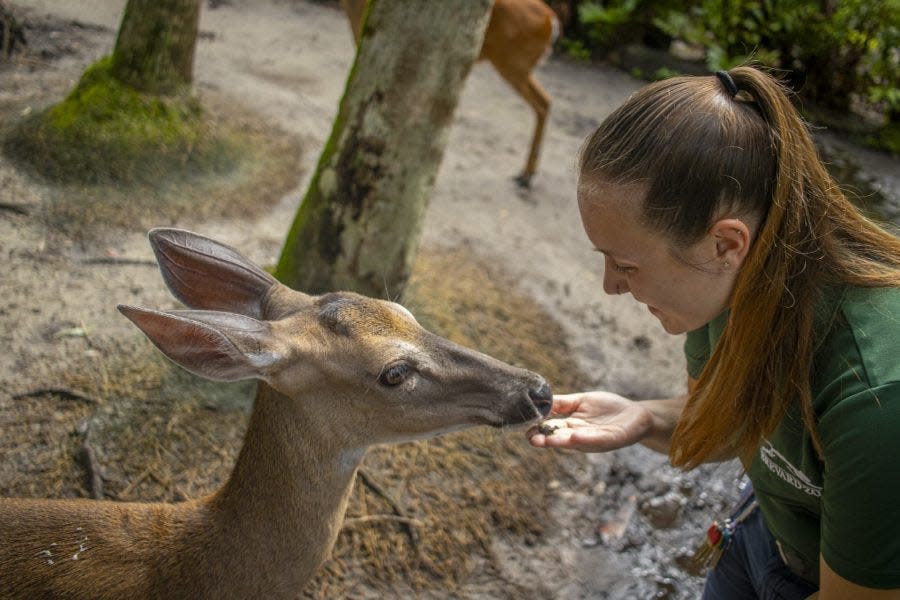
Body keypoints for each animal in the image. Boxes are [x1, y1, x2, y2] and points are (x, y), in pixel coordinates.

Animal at [342, 0, 560, 189]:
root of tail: (552, 20)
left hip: (513, 62)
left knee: (542, 102)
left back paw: (526, 175)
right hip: (516, 64)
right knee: (545, 102)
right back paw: (527, 175)